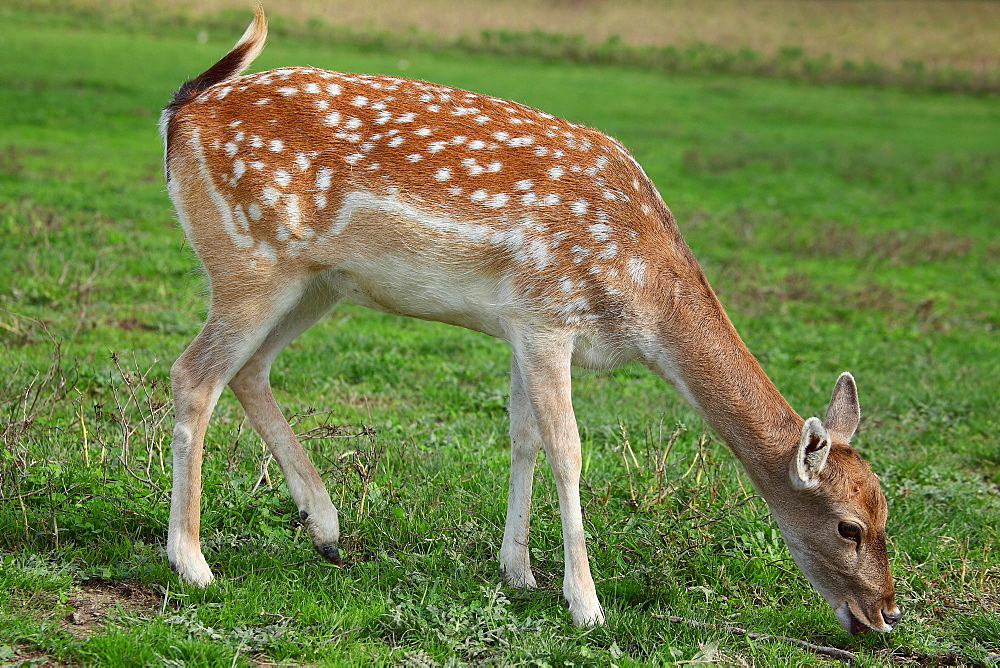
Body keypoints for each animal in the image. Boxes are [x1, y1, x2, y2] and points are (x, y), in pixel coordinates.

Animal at [160, 5, 904, 632]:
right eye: (848, 526)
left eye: (884, 509)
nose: (887, 614)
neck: (638, 298)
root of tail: (180, 111)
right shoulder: (549, 316)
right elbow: (568, 449)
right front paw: (585, 603)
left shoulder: (518, 324)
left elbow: (521, 437)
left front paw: (517, 571)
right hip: (248, 260)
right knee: (194, 373)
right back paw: (193, 563)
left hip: (315, 284)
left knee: (248, 370)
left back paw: (326, 528)